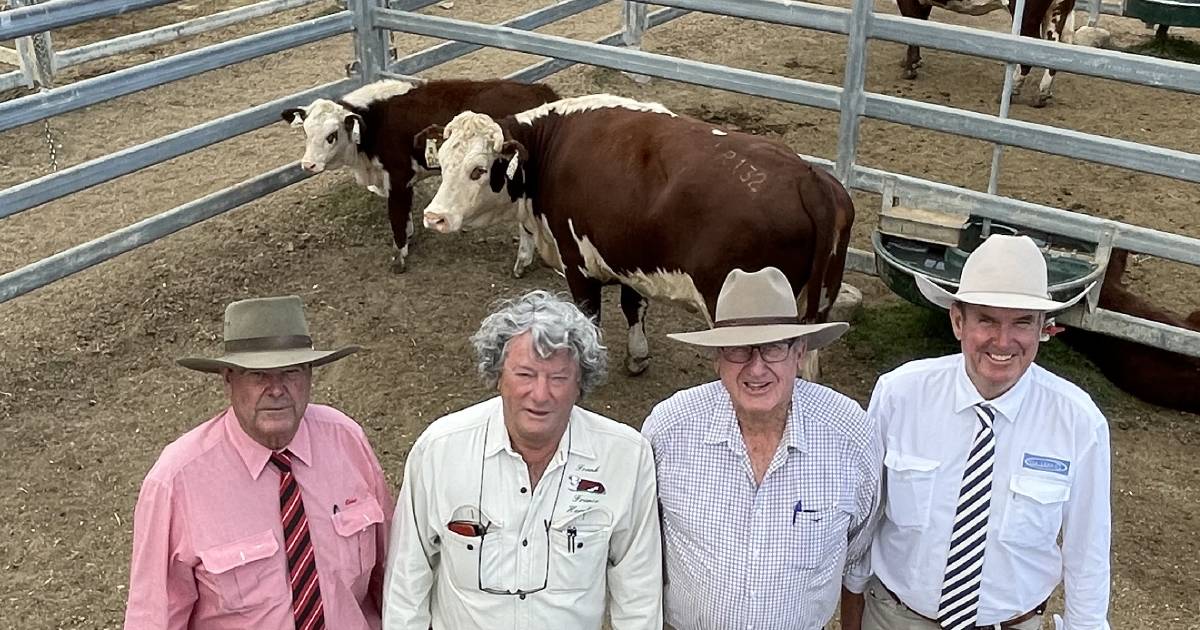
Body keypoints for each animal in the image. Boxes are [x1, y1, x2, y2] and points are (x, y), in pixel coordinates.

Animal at [280, 77, 556, 271]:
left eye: (331, 135)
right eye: (306, 132)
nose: (308, 165)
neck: (376, 121)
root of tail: (540, 91)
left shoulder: (397, 177)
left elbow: (397, 215)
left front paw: (399, 256)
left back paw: (522, 261)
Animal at [412, 96, 854, 376]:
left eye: (478, 169)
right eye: (443, 161)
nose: (434, 217)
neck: (551, 149)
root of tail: (808, 177)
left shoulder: (578, 263)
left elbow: (589, 315)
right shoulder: (627, 253)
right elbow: (633, 306)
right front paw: (637, 356)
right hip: (815, 308)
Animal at [902, 0, 1080, 106]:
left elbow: (911, 22)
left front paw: (910, 68)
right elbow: (920, 23)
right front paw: (914, 61)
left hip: (1027, 15)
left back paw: (1011, 90)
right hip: (1057, 12)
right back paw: (1042, 94)